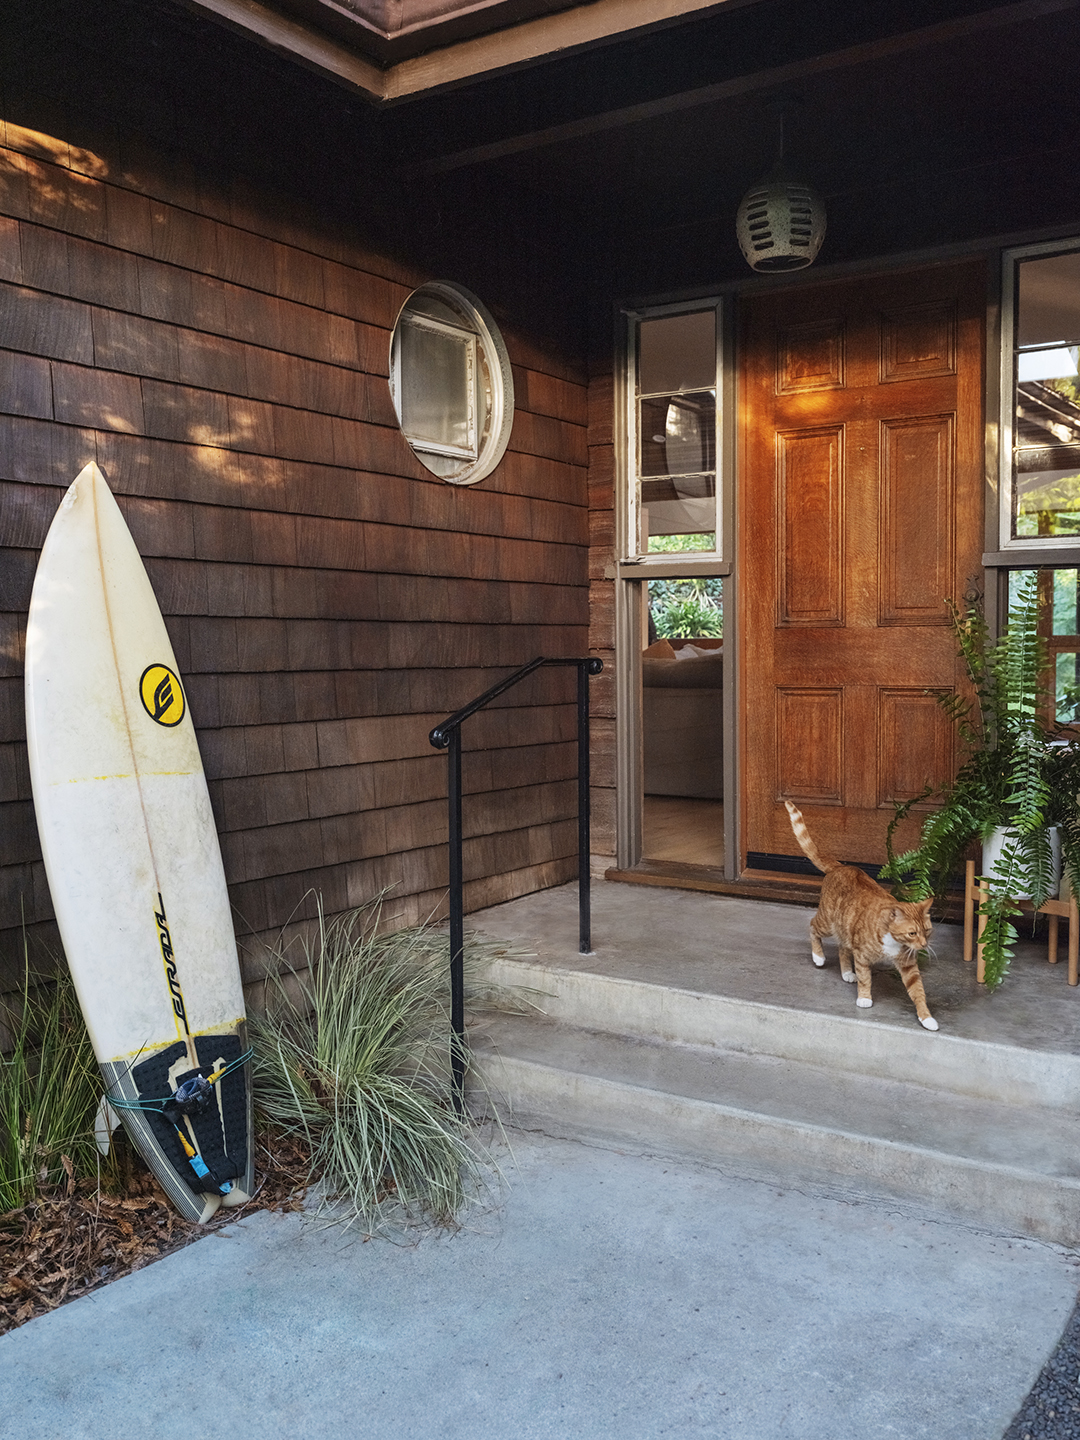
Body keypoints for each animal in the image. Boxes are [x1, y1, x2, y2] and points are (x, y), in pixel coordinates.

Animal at [789, 806, 938, 1031]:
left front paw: (926, 1017)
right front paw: (865, 998)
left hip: (845, 927)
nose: (923, 945)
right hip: (828, 923)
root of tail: (842, 867)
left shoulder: (908, 966)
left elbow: (918, 992)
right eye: (912, 933)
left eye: (927, 931)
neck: (893, 941)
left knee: (842, 947)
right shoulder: (861, 955)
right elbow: (865, 979)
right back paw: (818, 957)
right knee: (813, 926)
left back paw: (846, 973)